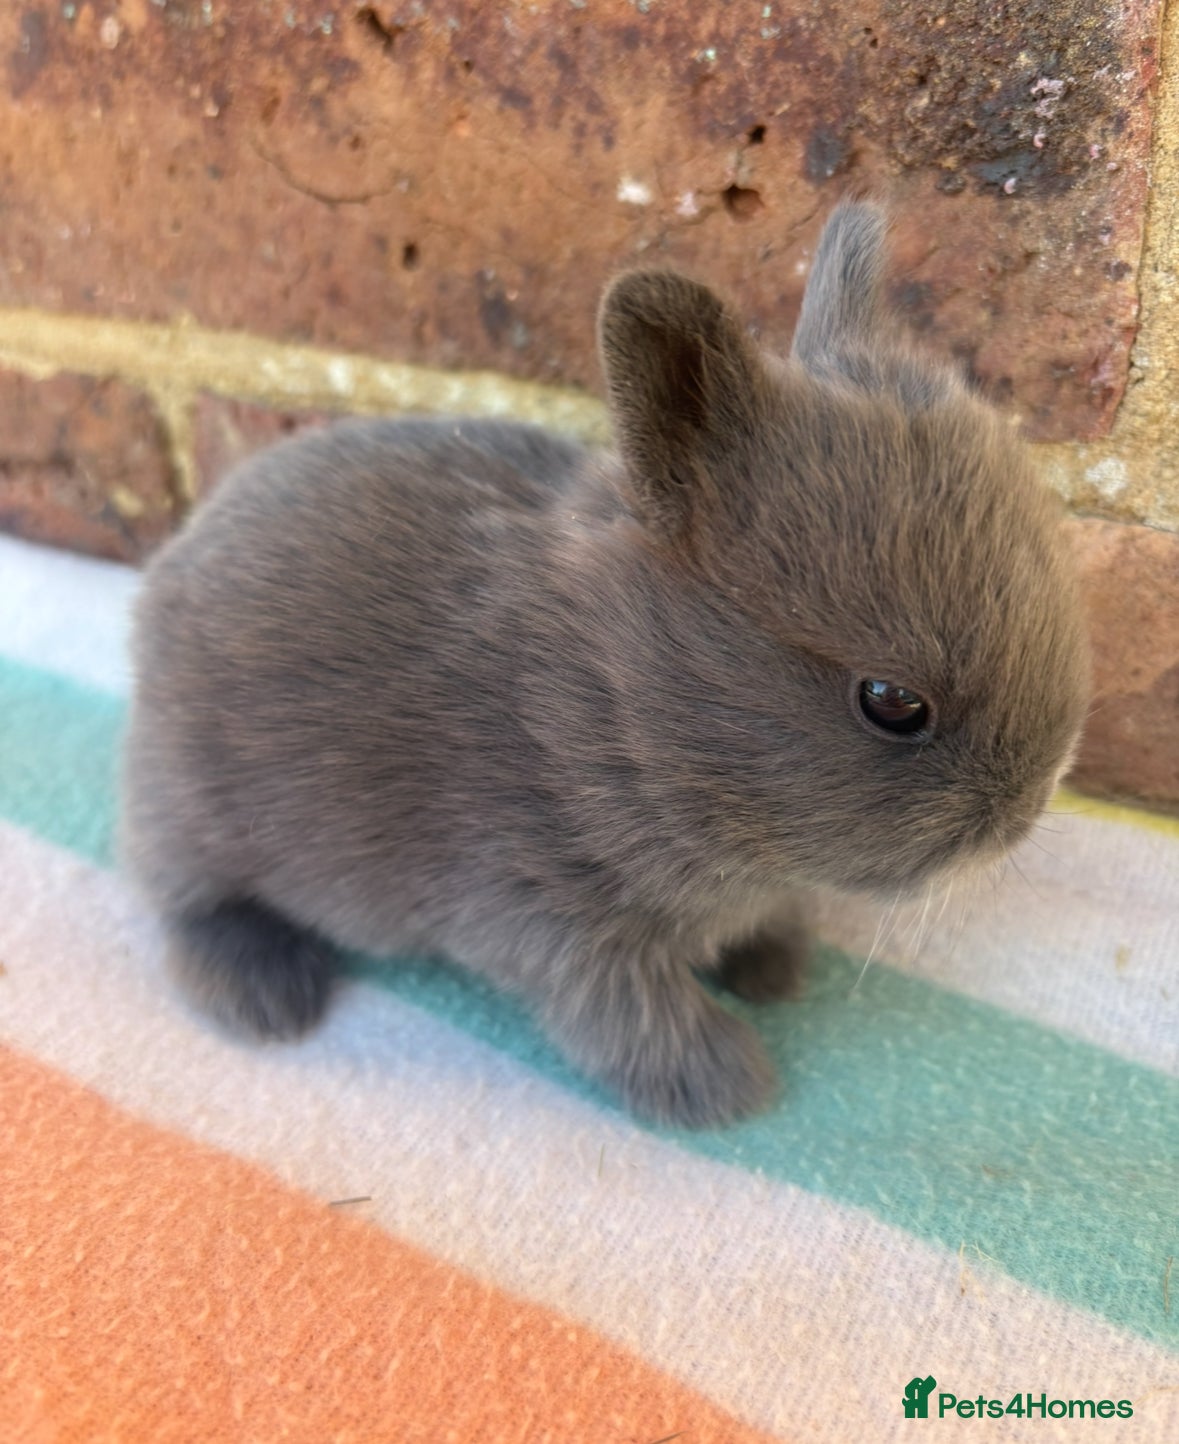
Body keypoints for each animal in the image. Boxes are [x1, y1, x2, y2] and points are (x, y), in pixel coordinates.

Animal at [120, 201, 1089, 1128]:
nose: (1025, 812)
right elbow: (632, 1016)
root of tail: (171, 570)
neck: (614, 706)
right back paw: (266, 997)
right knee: (182, 901)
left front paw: (774, 968)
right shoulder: (548, 915)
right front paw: (727, 1088)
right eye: (890, 702)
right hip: (193, 812)